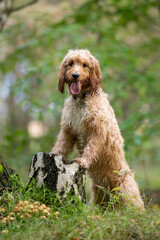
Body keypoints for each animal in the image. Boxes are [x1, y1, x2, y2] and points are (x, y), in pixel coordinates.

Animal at [52, 49, 144, 210]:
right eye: (71, 63)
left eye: (85, 65)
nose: (75, 75)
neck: (82, 100)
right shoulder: (68, 131)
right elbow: (61, 146)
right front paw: (53, 154)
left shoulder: (98, 132)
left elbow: (91, 148)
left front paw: (83, 161)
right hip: (99, 196)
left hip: (125, 190)